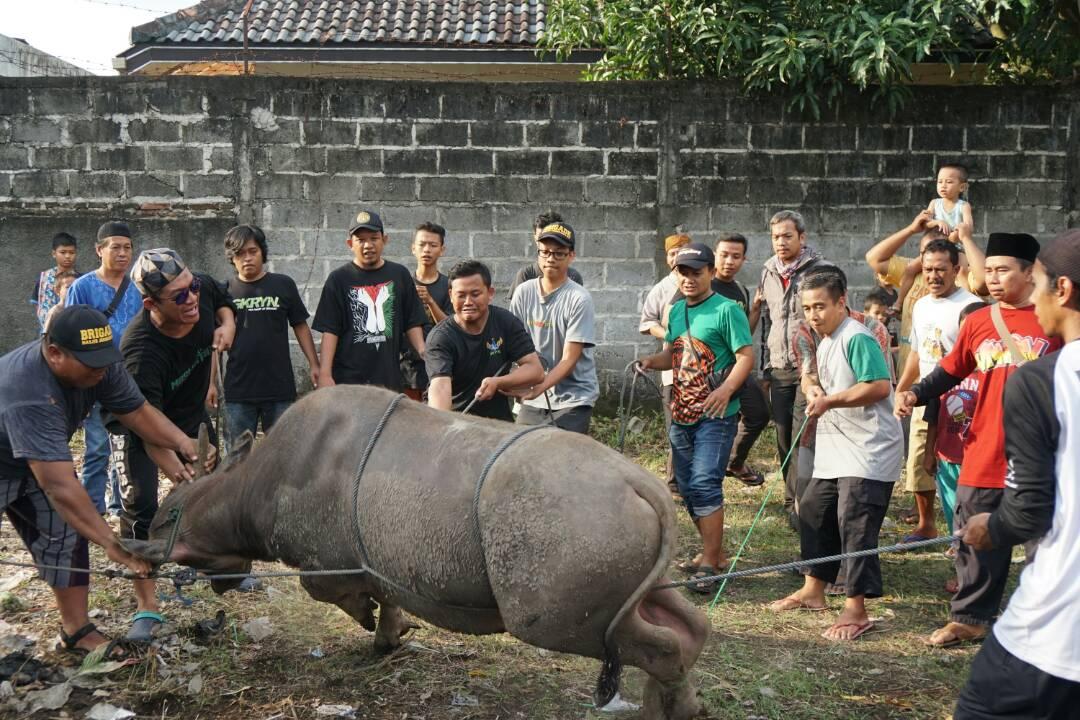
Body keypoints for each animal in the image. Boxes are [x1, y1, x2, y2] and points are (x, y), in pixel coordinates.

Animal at [126, 386, 708, 716]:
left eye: (170, 517)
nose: (144, 542)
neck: (244, 488)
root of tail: (647, 488)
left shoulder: (328, 562)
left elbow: (330, 592)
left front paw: (370, 621)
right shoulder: (376, 558)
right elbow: (388, 594)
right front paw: (391, 634)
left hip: (571, 548)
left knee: (608, 635)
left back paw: (664, 708)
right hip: (620, 543)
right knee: (673, 617)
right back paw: (680, 702)